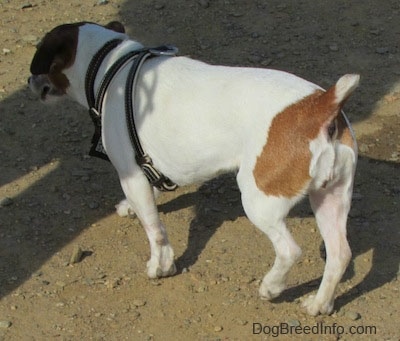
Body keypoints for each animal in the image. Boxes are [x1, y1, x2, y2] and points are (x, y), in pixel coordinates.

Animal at [28, 20, 360, 314]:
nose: (29, 82)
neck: (112, 64)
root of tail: (322, 105)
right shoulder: (145, 170)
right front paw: (129, 209)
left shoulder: (131, 176)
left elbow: (155, 230)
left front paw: (161, 266)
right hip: (330, 199)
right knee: (340, 254)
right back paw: (319, 304)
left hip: (259, 201)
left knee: (290, 250)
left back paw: (271, 287)